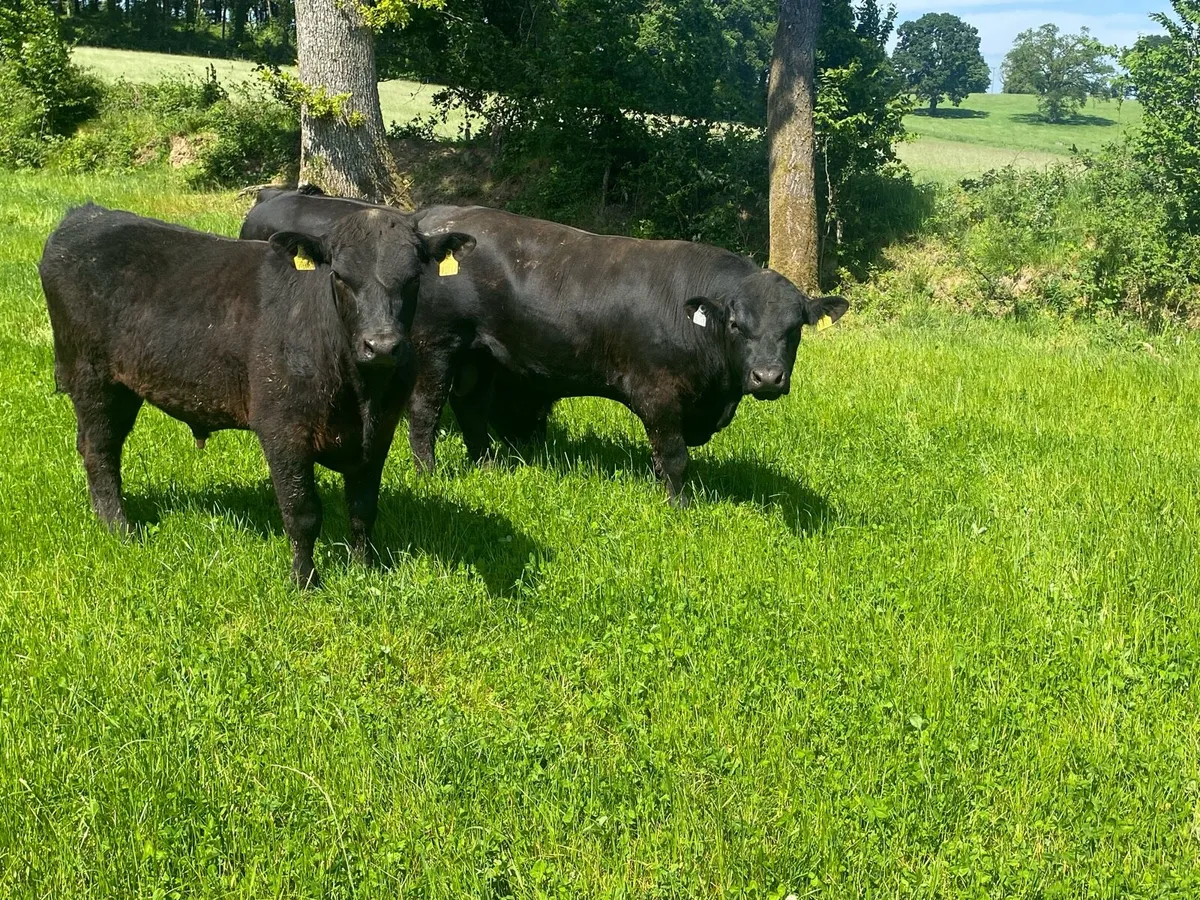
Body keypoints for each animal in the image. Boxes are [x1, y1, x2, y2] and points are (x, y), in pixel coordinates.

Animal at [41, 203, 474, 588]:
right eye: (339, 276)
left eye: (414, 278)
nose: (381, 346)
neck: (360, 391)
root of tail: (86, 214)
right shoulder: (282, 430)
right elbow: (302, 512)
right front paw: (304, 580)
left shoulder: (380, 432)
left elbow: (363, 508)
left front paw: (365, 571)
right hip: (92, 377)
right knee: (99, 449)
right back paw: (119, 527)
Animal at [241, 190, 848, 507]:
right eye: (738, 326)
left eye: (794, 328)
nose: (767, 377)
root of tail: (427, 221)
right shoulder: (658, 396)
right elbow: (673, 457)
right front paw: (677, 505)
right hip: (439, 346)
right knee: (426, 413)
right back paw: (431, 470)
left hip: (479, 355)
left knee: (471, 409)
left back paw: (486, 460)